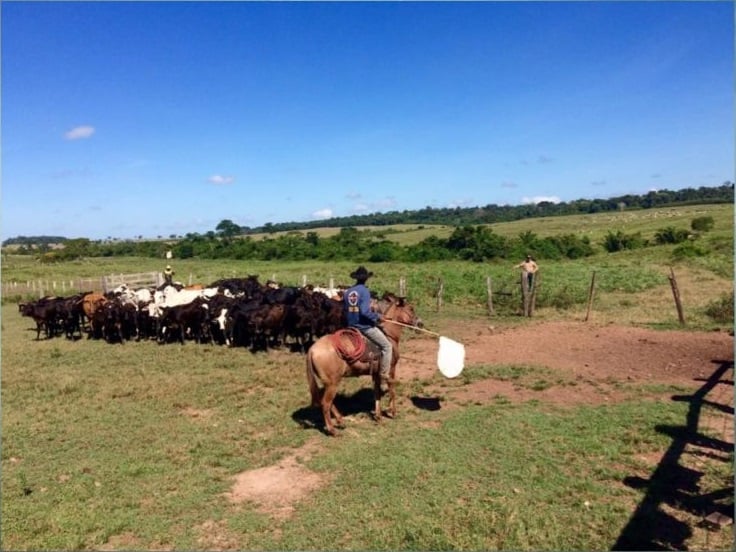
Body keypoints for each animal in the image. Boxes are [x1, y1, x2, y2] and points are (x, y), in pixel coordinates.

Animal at [304, 292, 420, 438]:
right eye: (411, 308)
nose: (420, 323)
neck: (389, 335)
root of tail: (312, 349)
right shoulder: (390, 370)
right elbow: (392, 390)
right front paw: (392, 412)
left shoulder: (375, 374)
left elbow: (376, 393)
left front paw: (378, 416)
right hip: (333, 383)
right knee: (326, 403)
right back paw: (333, 430)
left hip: (328, 383)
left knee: (325, 401)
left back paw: (341, 420)